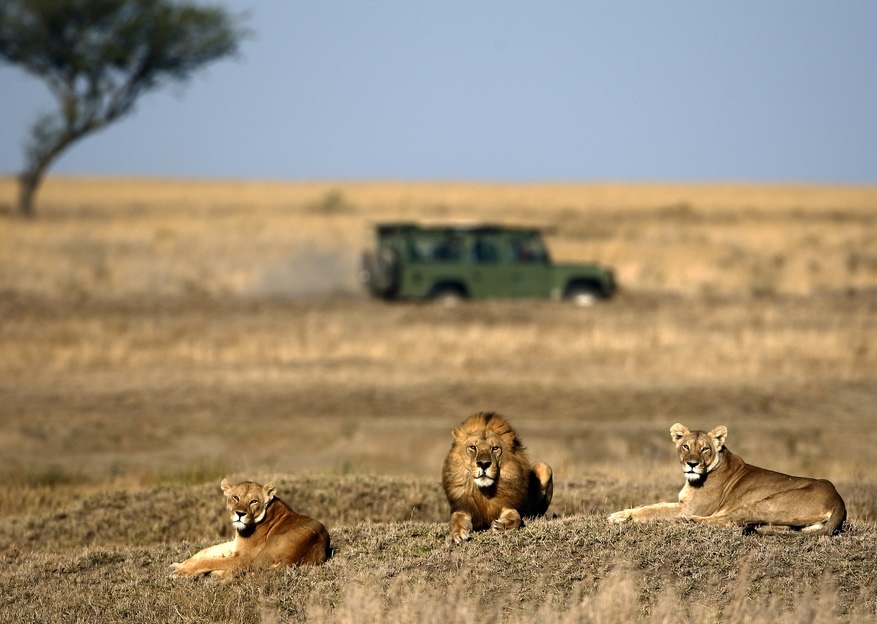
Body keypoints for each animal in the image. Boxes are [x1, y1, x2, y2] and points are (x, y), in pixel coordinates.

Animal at [172, 480, 332, 576]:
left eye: (253, 501)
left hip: (257, 557)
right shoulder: (236, 545)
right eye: (236, 497)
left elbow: (210, 560)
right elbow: (207, 550)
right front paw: (180, 564)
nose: (240, 514)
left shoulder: (242, 556)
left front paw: (181, 571)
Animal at [604, 424, 844, 536]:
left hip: (766, 503)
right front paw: (622, 514)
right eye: (685, 446)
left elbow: (653, 511)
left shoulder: (690, 507)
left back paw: (688, 521)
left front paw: (621, 518)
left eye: (705, 449)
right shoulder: (682, 503)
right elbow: (652, 505)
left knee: (731, 520)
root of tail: (838, 500)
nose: (692, 464)